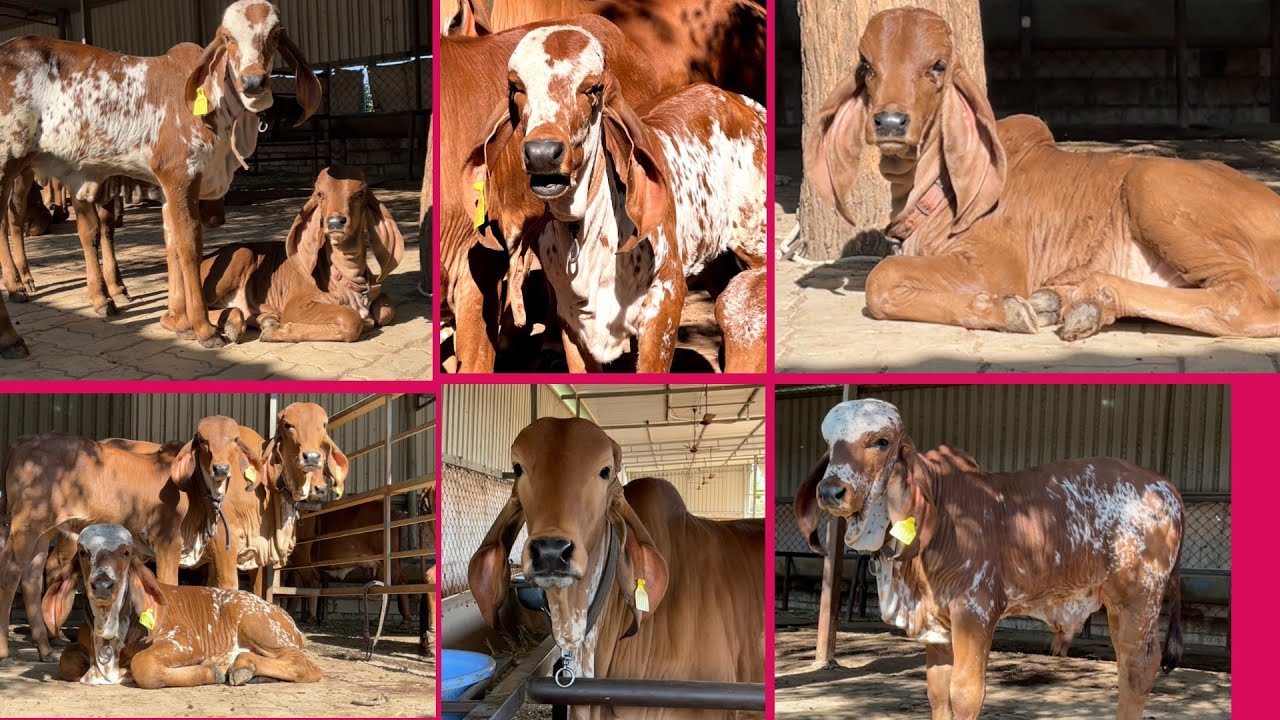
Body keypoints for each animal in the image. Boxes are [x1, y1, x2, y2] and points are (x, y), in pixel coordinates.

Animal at [794, 399, 1185, 720]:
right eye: (830, 444)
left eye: (881, 442)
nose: (830, 491)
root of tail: (1164, 485)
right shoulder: (937, 626)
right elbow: (938, 694)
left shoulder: (975, 611)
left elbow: (966, 694)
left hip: (1137, 599)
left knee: (1137, 670)